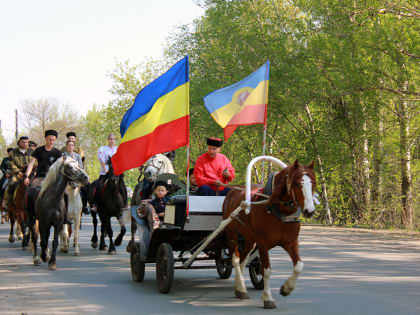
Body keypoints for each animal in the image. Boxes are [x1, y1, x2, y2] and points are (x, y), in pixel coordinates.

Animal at [223, 162, 316, 310]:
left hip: (250, 239)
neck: (278, 211)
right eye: (296, 184)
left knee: (243, 259)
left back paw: (240, 288)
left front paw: (286, 288)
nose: (309, 211)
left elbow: (299, 266)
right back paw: (241, 287)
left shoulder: (290, 242)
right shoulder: (263, 244)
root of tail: (232, 191)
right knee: (236, 259)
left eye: (313, 183)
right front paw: (268, 298)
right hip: (231, 233)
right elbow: (266, 271)